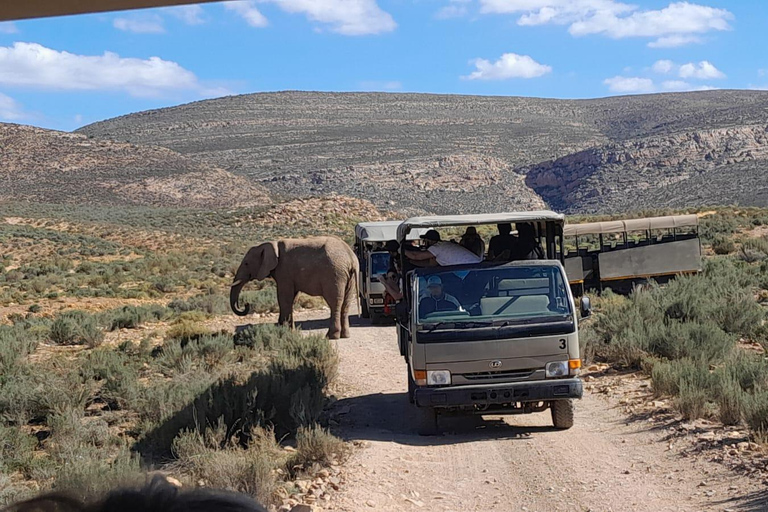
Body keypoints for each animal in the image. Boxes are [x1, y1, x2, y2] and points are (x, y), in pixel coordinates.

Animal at [230, 236, 358, 340]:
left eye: (246, 263)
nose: (246, 304)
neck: (271, 244)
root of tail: (351, 258)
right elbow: (292, 298)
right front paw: (286, 329)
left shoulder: (284, 271)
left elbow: (284, 297)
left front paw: (283, 330)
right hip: (346, 277)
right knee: (346, 304)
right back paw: (345, 336)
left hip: (334, 275)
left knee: (334, 303)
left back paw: (331, 337)